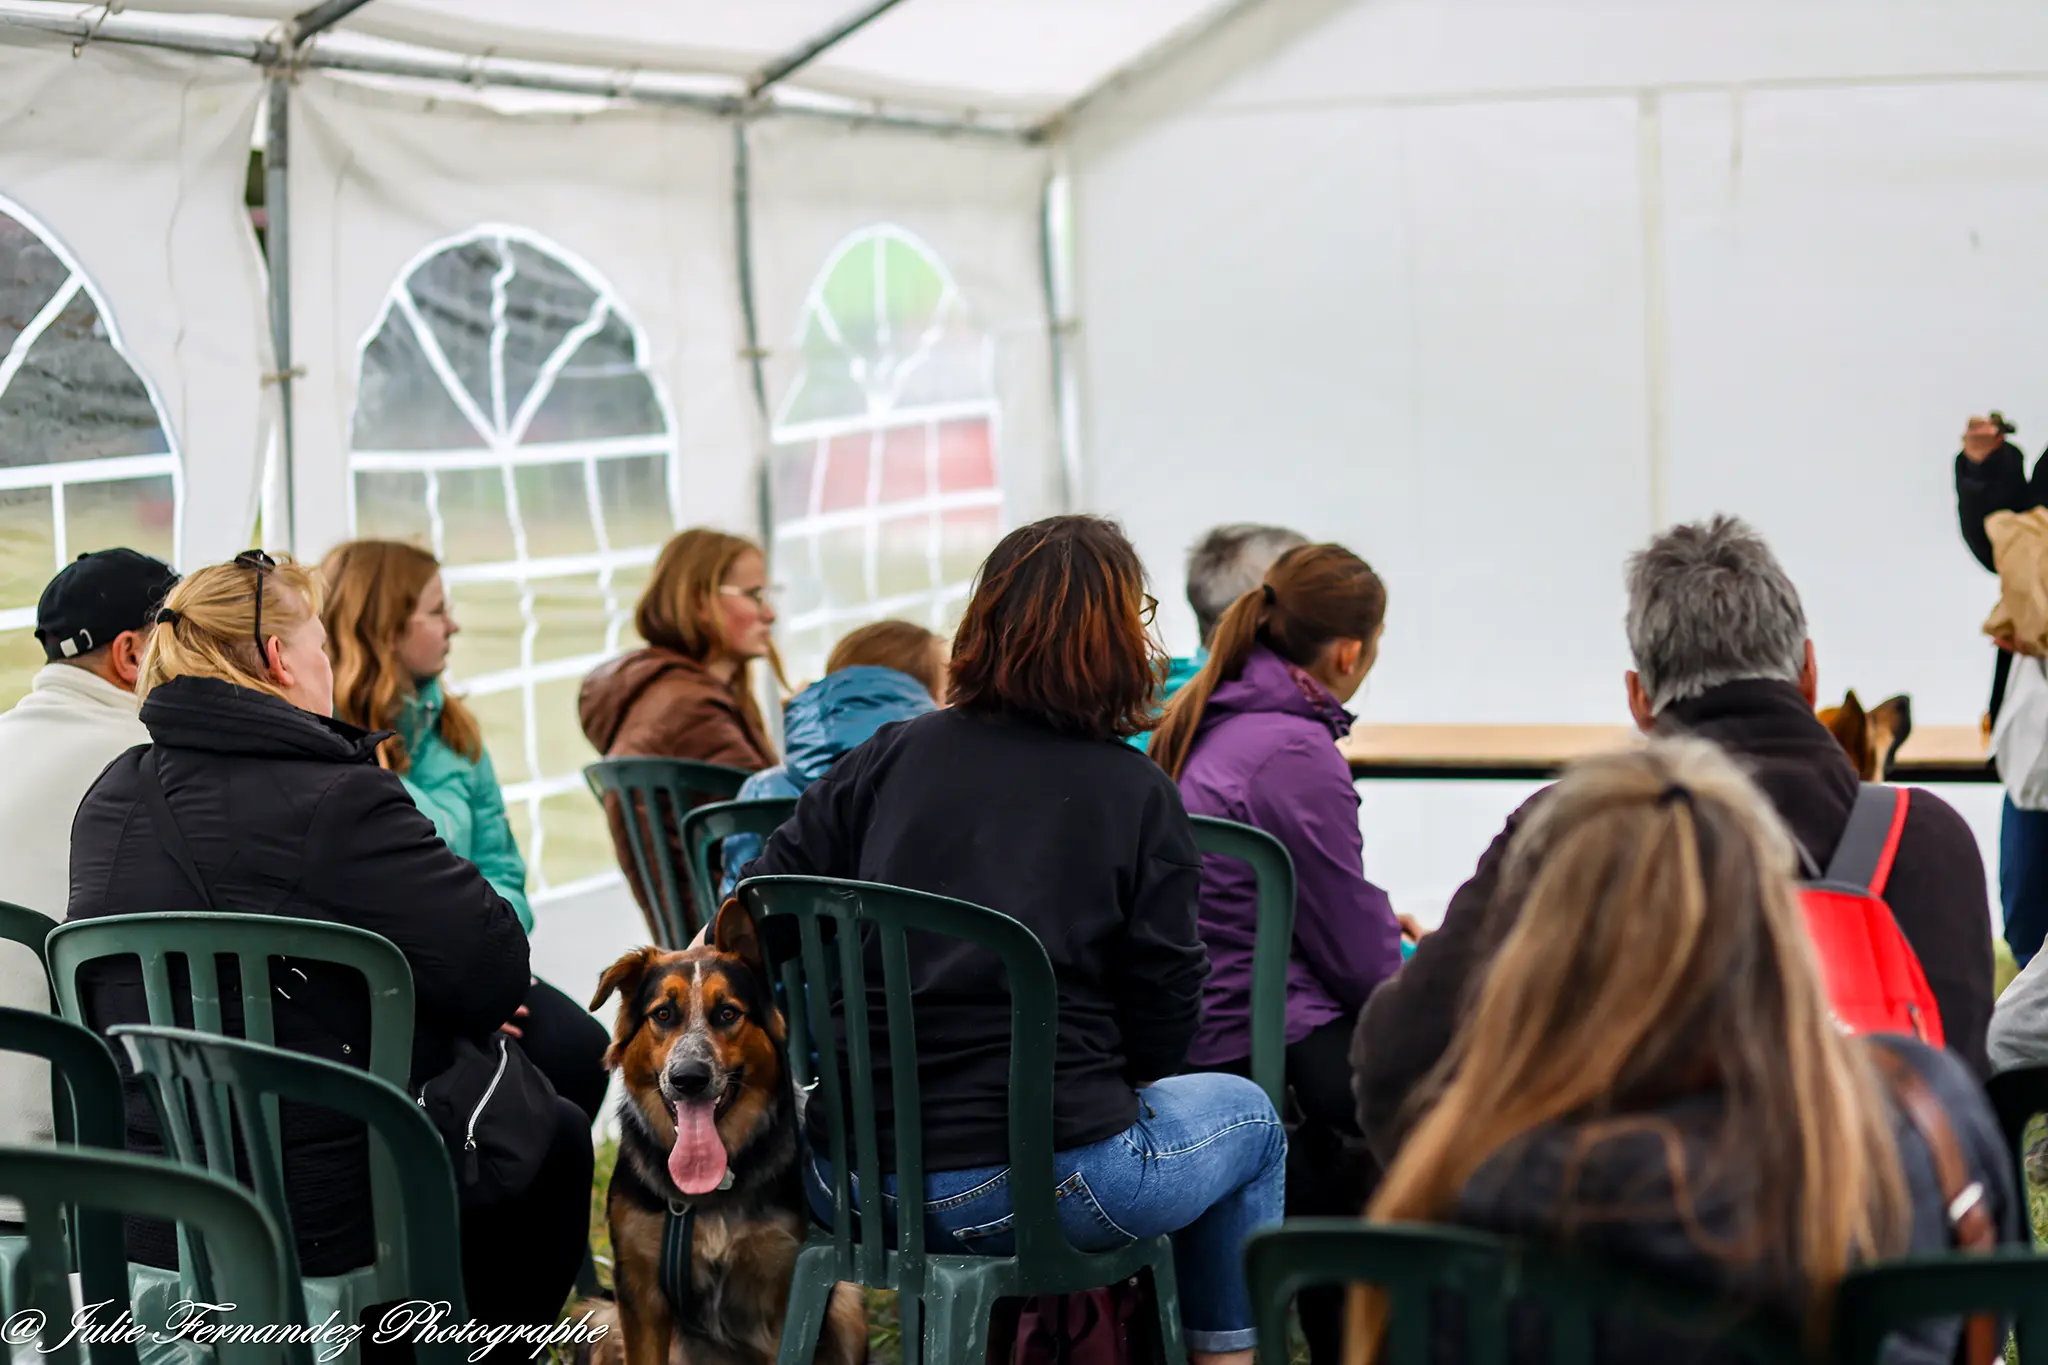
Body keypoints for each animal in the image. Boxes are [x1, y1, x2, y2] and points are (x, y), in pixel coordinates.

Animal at [585, 908, 864, 1365]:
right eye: (663, 1014)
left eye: (728, 1014)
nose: (688, 1079)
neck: (710, 1190)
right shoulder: (640, 1293)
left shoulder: (782, 1295)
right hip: (603, 1319)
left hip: (846, 1305)